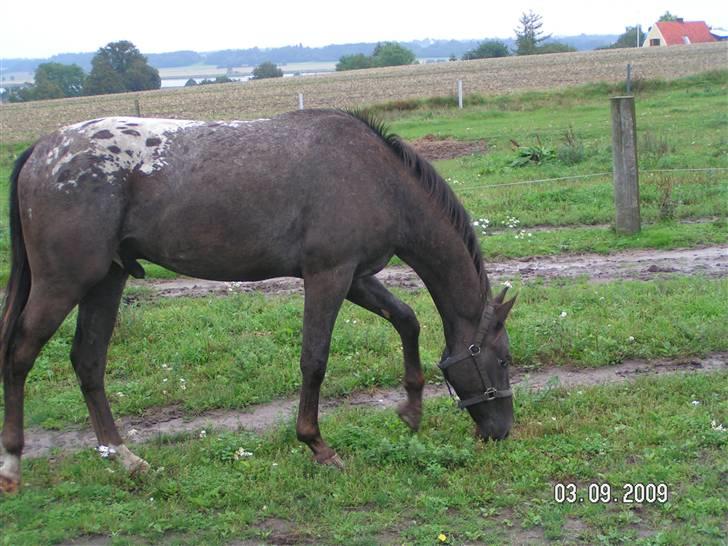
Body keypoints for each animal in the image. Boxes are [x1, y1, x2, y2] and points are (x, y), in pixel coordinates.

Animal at [0, 109, 516, 488]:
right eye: (504, 360)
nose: (502, 431)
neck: (376, 177)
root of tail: (41, 151)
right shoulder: (328, 276)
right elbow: (314, 360)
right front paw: (317, 446)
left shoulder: (354, 277)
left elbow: (407, 319)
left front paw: (411, 409)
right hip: (63, 282)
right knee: (20, 355)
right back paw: (13, 464)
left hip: (107, 280)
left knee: (88, 360)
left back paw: (125, 458)